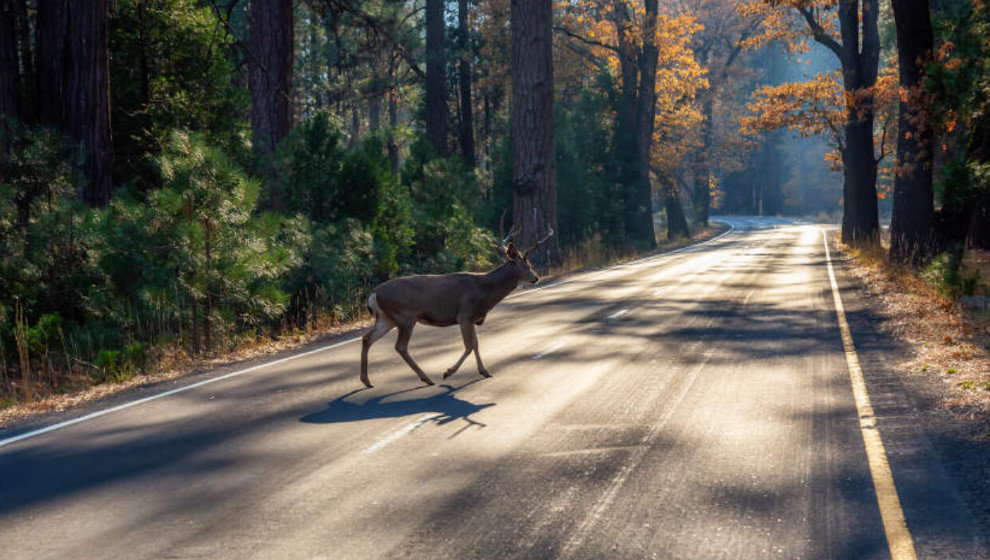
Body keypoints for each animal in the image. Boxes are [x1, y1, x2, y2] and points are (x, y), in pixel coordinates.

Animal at [360, 217, 556, 388]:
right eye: (527, 265)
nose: (536, 278)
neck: (486, 291)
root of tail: (374, 293)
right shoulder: (464, 314)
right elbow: (469, 346)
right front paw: (448, 372)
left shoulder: (472, 318)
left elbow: (476, 344)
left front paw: (484, 371)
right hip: (405, 317)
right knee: (400, 346)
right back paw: (427, 378)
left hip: (387, 318)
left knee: (367, 338)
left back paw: (367, 380)